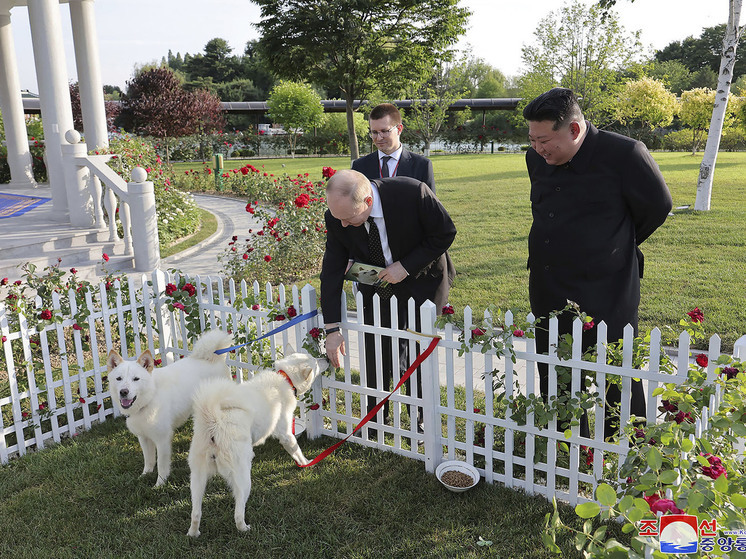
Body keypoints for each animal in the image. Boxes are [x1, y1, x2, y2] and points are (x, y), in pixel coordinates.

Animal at [105, 330, 232, 488]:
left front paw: (159, 484)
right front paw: (144, 475)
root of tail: (214, 357)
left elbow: (161, 465)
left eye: (136, 379)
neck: (150, 397)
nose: (123, 392)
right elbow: (149, 460)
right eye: (119, 379)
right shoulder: (144, 437)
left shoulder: (162, 440)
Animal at [186, 350, 326, 540]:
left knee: (195, 513)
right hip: (243, 478)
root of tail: (213, 420)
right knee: (238, 513)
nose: (326, 358)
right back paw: (244, 528)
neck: (284, 377)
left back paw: (194, 533)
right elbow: (296, 450)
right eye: (316, 362)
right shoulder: (285, 434)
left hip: (197, 478)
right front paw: (306, 463)